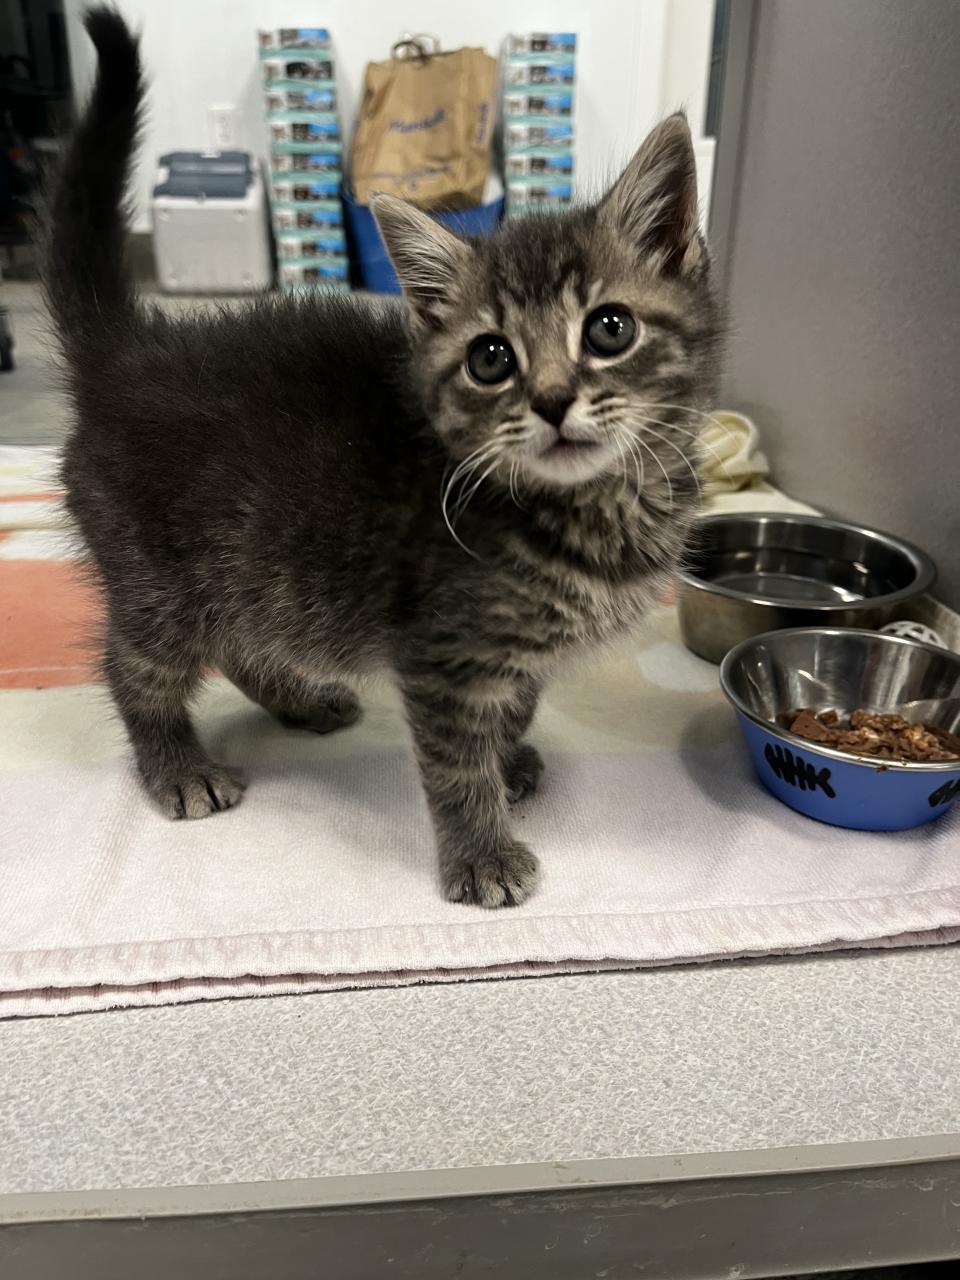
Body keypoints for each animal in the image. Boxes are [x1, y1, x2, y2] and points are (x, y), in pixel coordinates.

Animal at [45, 9, 721, 908]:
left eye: (610, 329)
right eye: (491, 359)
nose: (551, 400)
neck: (595, 507)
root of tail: (130, 352)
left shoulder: (508, 655)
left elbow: (513, 706)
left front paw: (510, 763)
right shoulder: (438, 653)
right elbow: (454, 759)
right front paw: (481, 852)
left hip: (256, 570)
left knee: (245, 635)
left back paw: (300, 701)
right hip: (163, 578)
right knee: (133, 665)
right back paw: (177, 768)